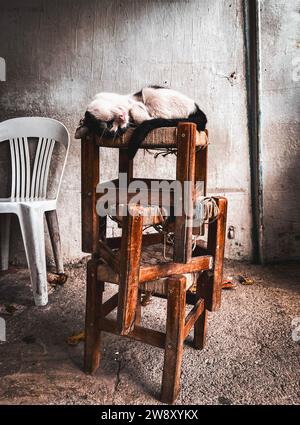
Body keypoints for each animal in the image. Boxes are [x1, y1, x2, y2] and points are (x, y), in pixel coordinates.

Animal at [75, 85, 206, 158]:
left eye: (110, 122)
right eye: (112, 125)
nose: (121, 118)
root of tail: (197, 110)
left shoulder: (131, 101)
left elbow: (135, 109)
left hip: (152, 92)